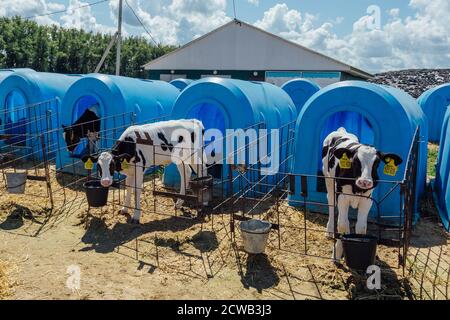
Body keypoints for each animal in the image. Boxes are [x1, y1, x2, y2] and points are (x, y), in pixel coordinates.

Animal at [322, 127, 402, 260]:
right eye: (355, 161)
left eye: (377, 163)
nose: (365, 182)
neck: (357, 187)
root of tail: (341, 130)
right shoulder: (342, 197)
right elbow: (343, 224)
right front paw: (337, 253)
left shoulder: (367, 200)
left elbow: (361, 227)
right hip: (327, 177)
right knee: (330, 200)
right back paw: (330, 229)